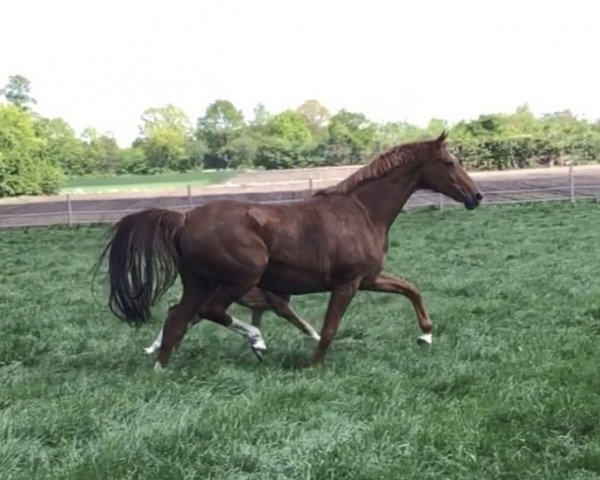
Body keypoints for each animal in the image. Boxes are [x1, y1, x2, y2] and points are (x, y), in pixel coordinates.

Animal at [98, 132, 482, 372]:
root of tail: (184, 218)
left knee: (179, 318)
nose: (476, 196)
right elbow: (329, 328)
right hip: (240, 278)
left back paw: (160, 368)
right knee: (210, 312)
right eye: (449, 163)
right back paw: (257, 341)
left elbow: (411, 289)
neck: (361, 211)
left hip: (199, 283)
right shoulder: (347, 284)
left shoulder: (369, 278)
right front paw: (312, 366)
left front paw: (426, 335)